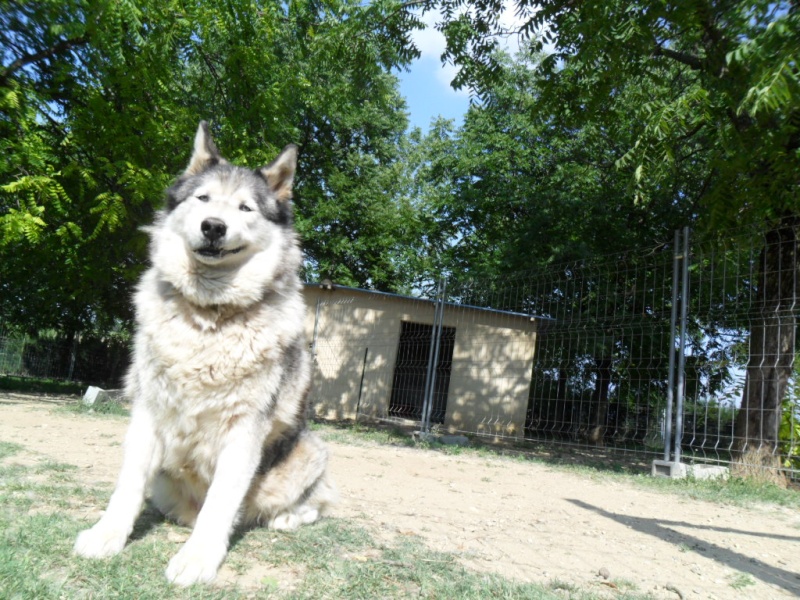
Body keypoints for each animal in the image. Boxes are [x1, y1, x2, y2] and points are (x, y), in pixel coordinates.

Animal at [73, 122, 336, 584]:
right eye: (203, 198)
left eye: (246, 208)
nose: (213, 227)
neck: (209, 317)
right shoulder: (148, 413)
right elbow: (128, 486)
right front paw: (107, 536)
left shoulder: (245, 428)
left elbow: (221, 502)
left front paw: (197, 558)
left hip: (311, 451)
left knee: (314, 503)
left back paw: (284, 518)